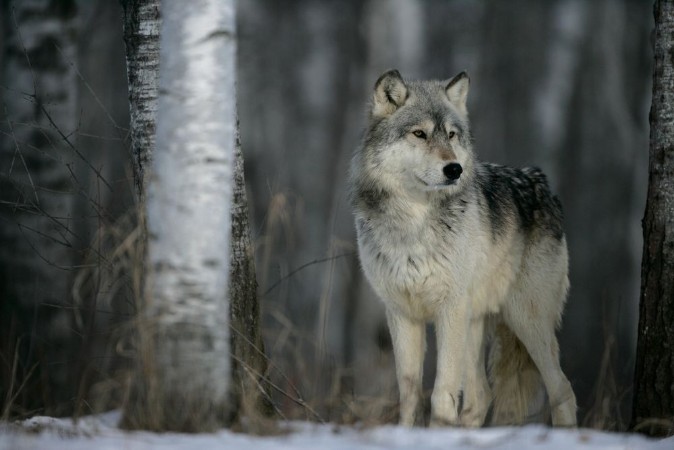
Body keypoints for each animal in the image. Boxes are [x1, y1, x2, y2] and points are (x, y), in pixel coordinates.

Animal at [350, 70, 577, 428]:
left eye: (452, 135)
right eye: (420, 134)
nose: (454, 168)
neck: (414, 223)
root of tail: (544, 185)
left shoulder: (449, 309)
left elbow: (441, 392)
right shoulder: (401, 313)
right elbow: (409, 393)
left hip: (525, 320)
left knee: (562, 388)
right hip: (475, 324)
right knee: (481, 396)